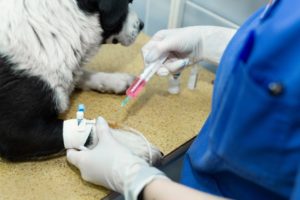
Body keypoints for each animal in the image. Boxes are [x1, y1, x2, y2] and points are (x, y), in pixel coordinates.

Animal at [0, 0, 144, 161]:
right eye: (128, 3)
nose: (142, 25)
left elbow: (80, 75)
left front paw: (116, 80)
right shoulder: (17, 132)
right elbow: (88, 130)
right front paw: (130, 145)